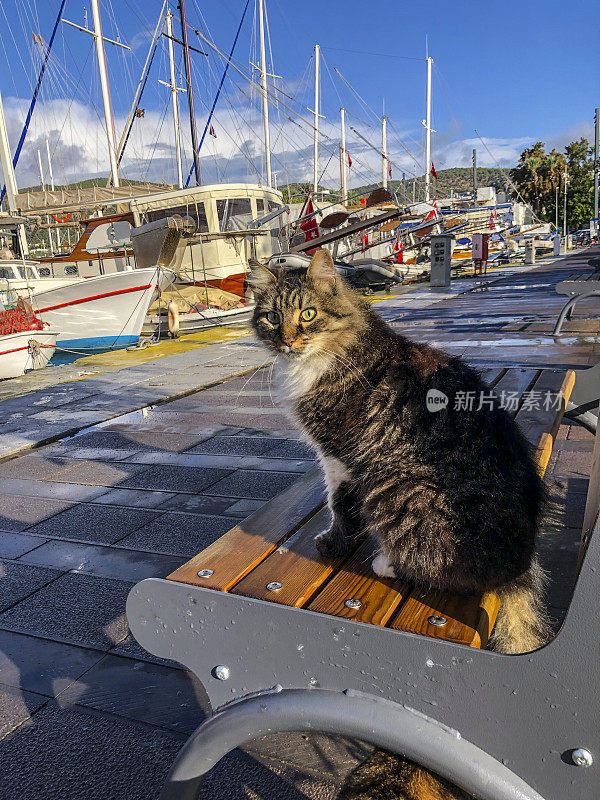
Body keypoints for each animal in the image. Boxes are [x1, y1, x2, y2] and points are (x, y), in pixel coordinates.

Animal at [247, 250, 548, 800]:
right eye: (272, 318)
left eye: (307, 315)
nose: (287, 341)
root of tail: (516, 563)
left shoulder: (341, 458)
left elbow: (341, 508)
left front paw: (335, 540)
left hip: (399, 486)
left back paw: (387, 561)